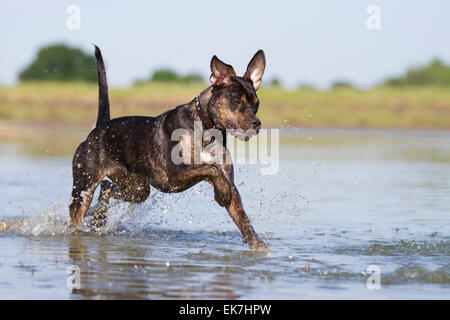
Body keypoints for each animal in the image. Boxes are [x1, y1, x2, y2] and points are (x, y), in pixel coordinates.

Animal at [69, 45, 268, 250]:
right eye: (236, 101)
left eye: (257, 104)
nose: (256, 123)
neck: (206, 129)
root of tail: (99, 128)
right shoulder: (176, 173)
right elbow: (210, 169)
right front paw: (221, 192)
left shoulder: (227, 179)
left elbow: (241, 216)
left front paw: (259, 247)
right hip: (84, 184)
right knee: (76, 213)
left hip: (138, 188)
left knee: (107, 188)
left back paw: (98, 217)